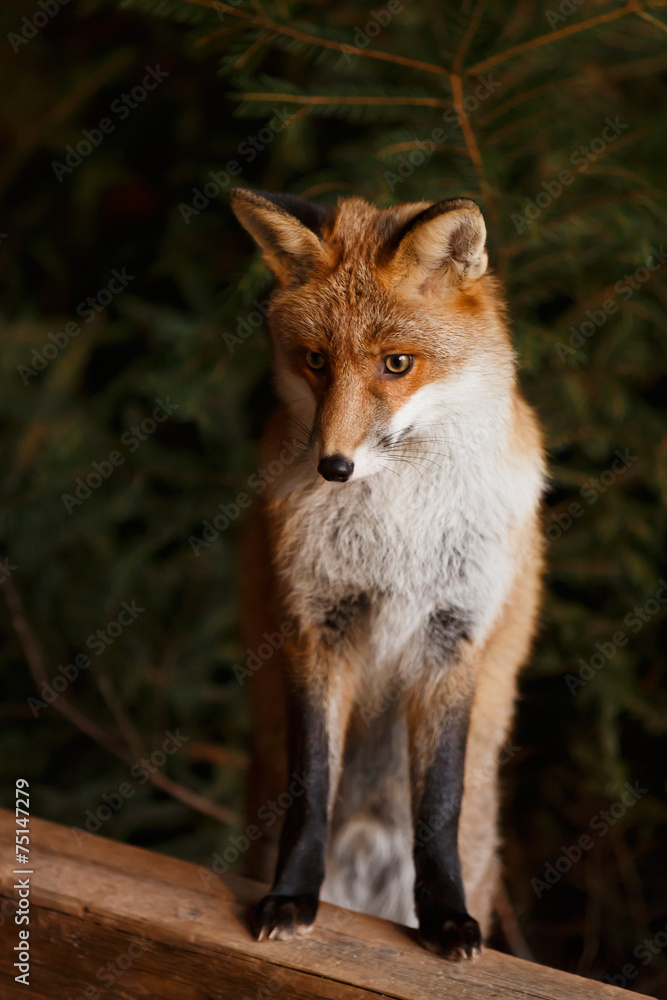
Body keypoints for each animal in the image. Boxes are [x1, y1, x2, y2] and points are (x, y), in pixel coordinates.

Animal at [229, 187, 546, 960]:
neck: (400, 533)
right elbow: (311, 785)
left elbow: (438, 802)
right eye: (315, 360)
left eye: (397, 363)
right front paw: (291, 898)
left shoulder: (453, 637)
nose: (333, 467)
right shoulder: (315, 629)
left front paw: (444, 919)